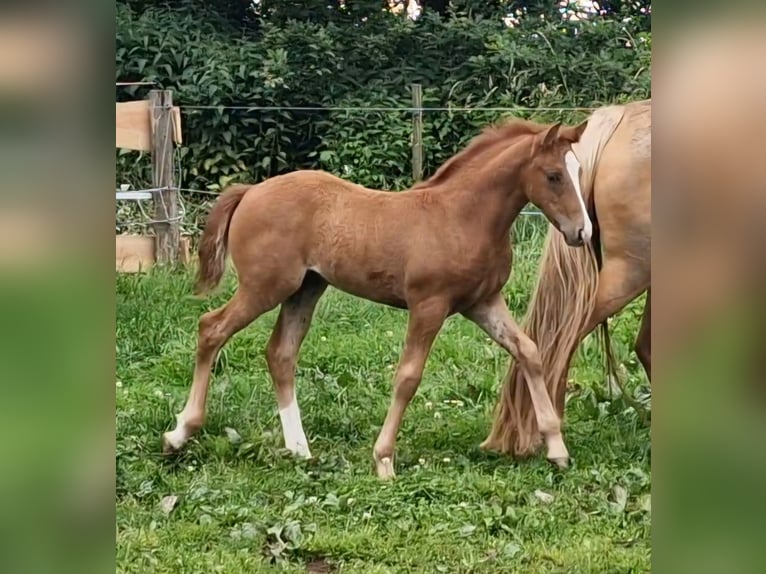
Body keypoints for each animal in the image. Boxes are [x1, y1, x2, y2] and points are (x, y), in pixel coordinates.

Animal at [164, 115, 612, 480]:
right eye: (553, 175)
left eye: (577, 170)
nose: (583, 232)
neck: (462, 217)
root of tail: (251, 191)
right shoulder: (429, 306)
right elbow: (408, 377)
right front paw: (383, 459)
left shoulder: (482, 303)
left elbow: (529, 351)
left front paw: (556, 447)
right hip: (266, 287)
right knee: (211, 328)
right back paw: (180, 433)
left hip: (306, 289)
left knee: (280, 353)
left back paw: (299, 449)